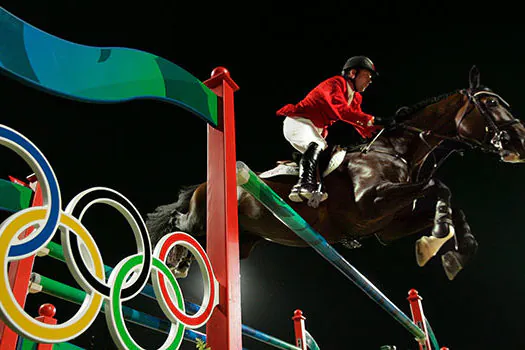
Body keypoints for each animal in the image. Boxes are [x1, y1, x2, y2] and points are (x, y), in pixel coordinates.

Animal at [145, 67, 524, 282]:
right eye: (490, 103)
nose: (519, 140)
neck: (397, 151)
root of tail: (203, 183)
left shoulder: (386, 227)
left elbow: (449, 203)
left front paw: (452, 251)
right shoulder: (370, 204)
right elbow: (438, 186)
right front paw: (439, 238)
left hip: (241, 242)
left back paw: (180, 261)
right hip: (204, 218)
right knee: (181, 226)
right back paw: (174, 257)